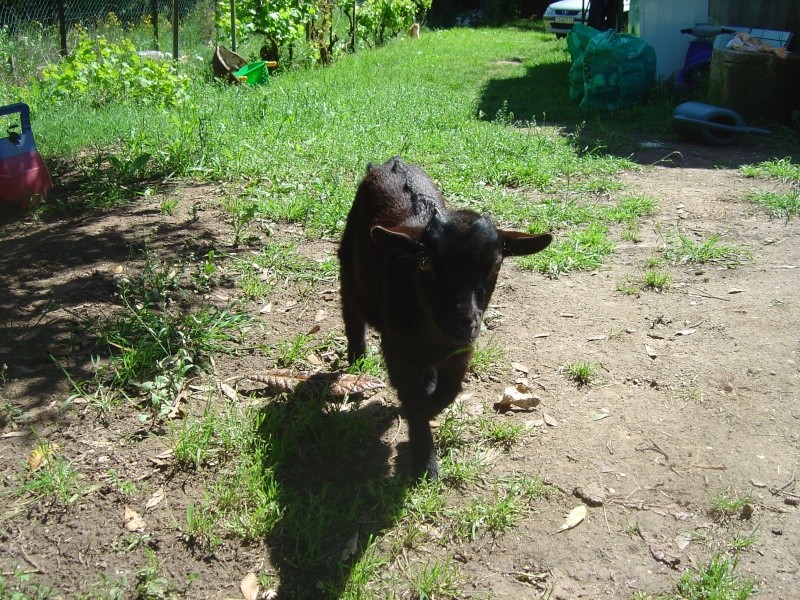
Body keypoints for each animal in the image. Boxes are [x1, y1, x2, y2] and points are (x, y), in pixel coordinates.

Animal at [336, 157, 552, 480]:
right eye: (425, 263)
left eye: (496, 265)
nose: (464, 324)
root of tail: (389, 163)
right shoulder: (397, 351)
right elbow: (414, 403)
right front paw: (424, 463)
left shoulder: (461, 352)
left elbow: (445, 394)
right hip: (349, 269)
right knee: (351, 311)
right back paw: (357, 358)